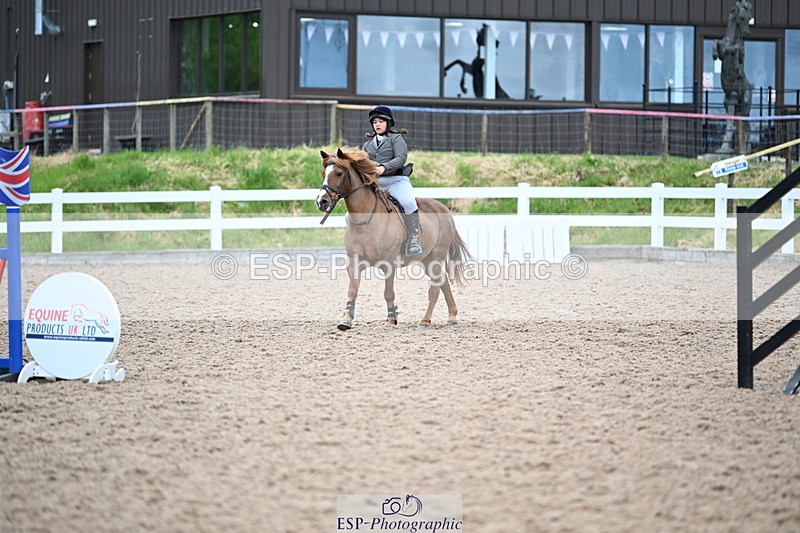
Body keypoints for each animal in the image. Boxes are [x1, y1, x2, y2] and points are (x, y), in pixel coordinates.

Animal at [316, 147, 471, 330]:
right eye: (323, 173)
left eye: (339, 173)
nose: (322, 201)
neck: (367, 218)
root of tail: (444, 209)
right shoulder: (354, 262)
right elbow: (353, 290)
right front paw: (346, 320)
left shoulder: (389, 264)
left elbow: (388, 293)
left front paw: (391, 319)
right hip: (426, 260)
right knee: (443, 283)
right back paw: (452, 316)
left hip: (436, 256)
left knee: (435, 288)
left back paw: (425, 320)